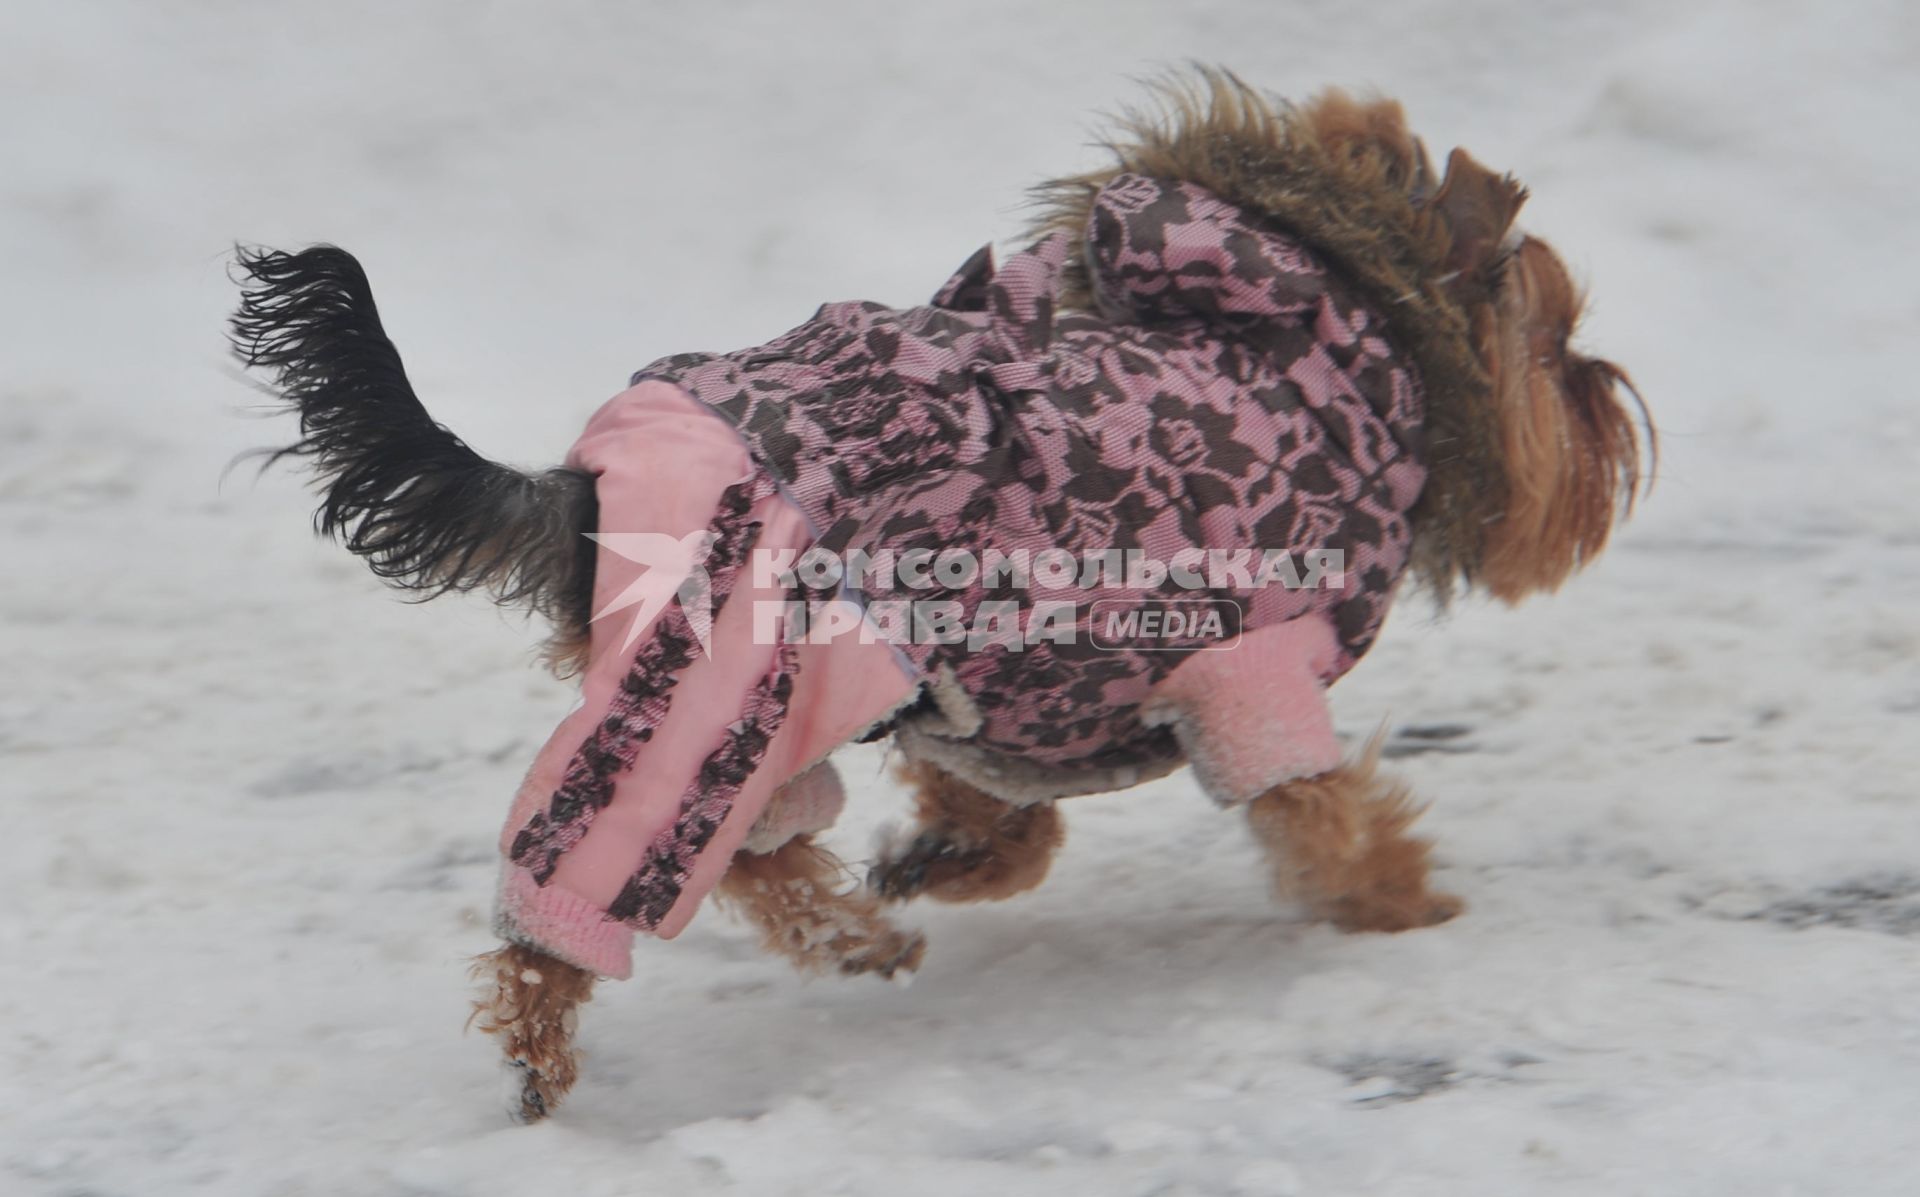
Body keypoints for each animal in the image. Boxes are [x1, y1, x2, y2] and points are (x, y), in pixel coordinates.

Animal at [232, 72, 1651, 1122]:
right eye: (1566, 346)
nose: (1615, 407)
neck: (1351, 363)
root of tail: (580, 484)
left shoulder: (996, 684)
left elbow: (1008, 821)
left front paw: (941, 863)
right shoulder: (1245, 668)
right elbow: (1322, 809)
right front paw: (1408, 909)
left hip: (792, 684)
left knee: (758, 846)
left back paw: (859, 937)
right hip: (721, 661)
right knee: (596, 873)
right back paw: (546, 1038)